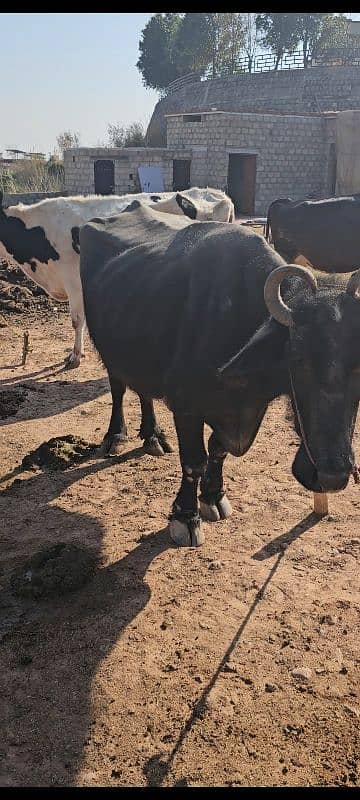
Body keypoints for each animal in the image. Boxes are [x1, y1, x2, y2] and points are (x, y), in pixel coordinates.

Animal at [79, 203, 360, 548]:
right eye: (297, 359)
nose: (332, 475)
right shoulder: (186, 406)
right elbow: (194, 460)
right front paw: (185, 517)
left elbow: (218, 449)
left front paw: (213, 496)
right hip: (108, 350)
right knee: (119, 388)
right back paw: (116, 437)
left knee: (143, 390)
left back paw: (153, 436)